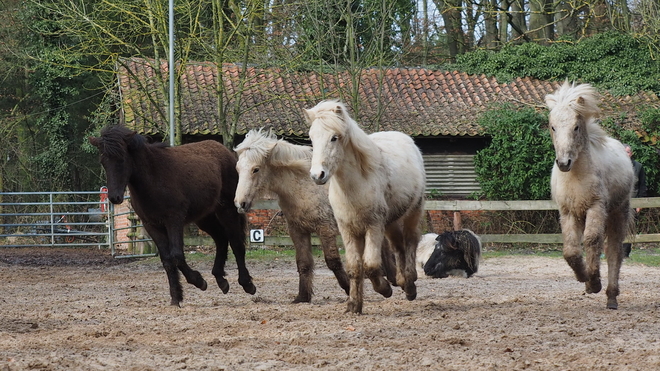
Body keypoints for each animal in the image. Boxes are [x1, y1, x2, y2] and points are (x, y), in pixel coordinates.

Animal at [87, 126, 253, 306]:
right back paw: (221, 280)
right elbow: (167, 260)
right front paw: (176, 298)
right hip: (204, 217)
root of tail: (225, 152)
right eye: (103, 162)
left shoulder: (174, 220)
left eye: (122, 159)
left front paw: (199, 281)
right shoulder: (151, 225)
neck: (154, 177)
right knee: (221, 239)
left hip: (227, 210)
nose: (114, 198)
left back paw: (247, 284)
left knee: (236, 243)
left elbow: (177, 255)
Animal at [306, 101, 426, 314]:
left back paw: (410, 286)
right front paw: (354, 305)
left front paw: (385, 289)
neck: (355, 186)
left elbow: (370, 265)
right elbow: (355, 268)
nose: (317, 175)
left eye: (334, 137)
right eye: (311, 137)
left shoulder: (373, 226)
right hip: (391, 223)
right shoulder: (347, 229)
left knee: (411, 241)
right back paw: (402, 281)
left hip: (413, 213)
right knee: (398, 246)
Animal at [548, 82, 636, 310]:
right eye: (552, 127)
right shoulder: (568, 212)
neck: (576, 177)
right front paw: (584, 278)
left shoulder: (596, 207)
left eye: (576, 127)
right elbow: (571, 250)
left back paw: (611, 297)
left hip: (617, 213)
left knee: (614, 251)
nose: (564, 163)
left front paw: (594, 282)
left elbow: (592, 240)